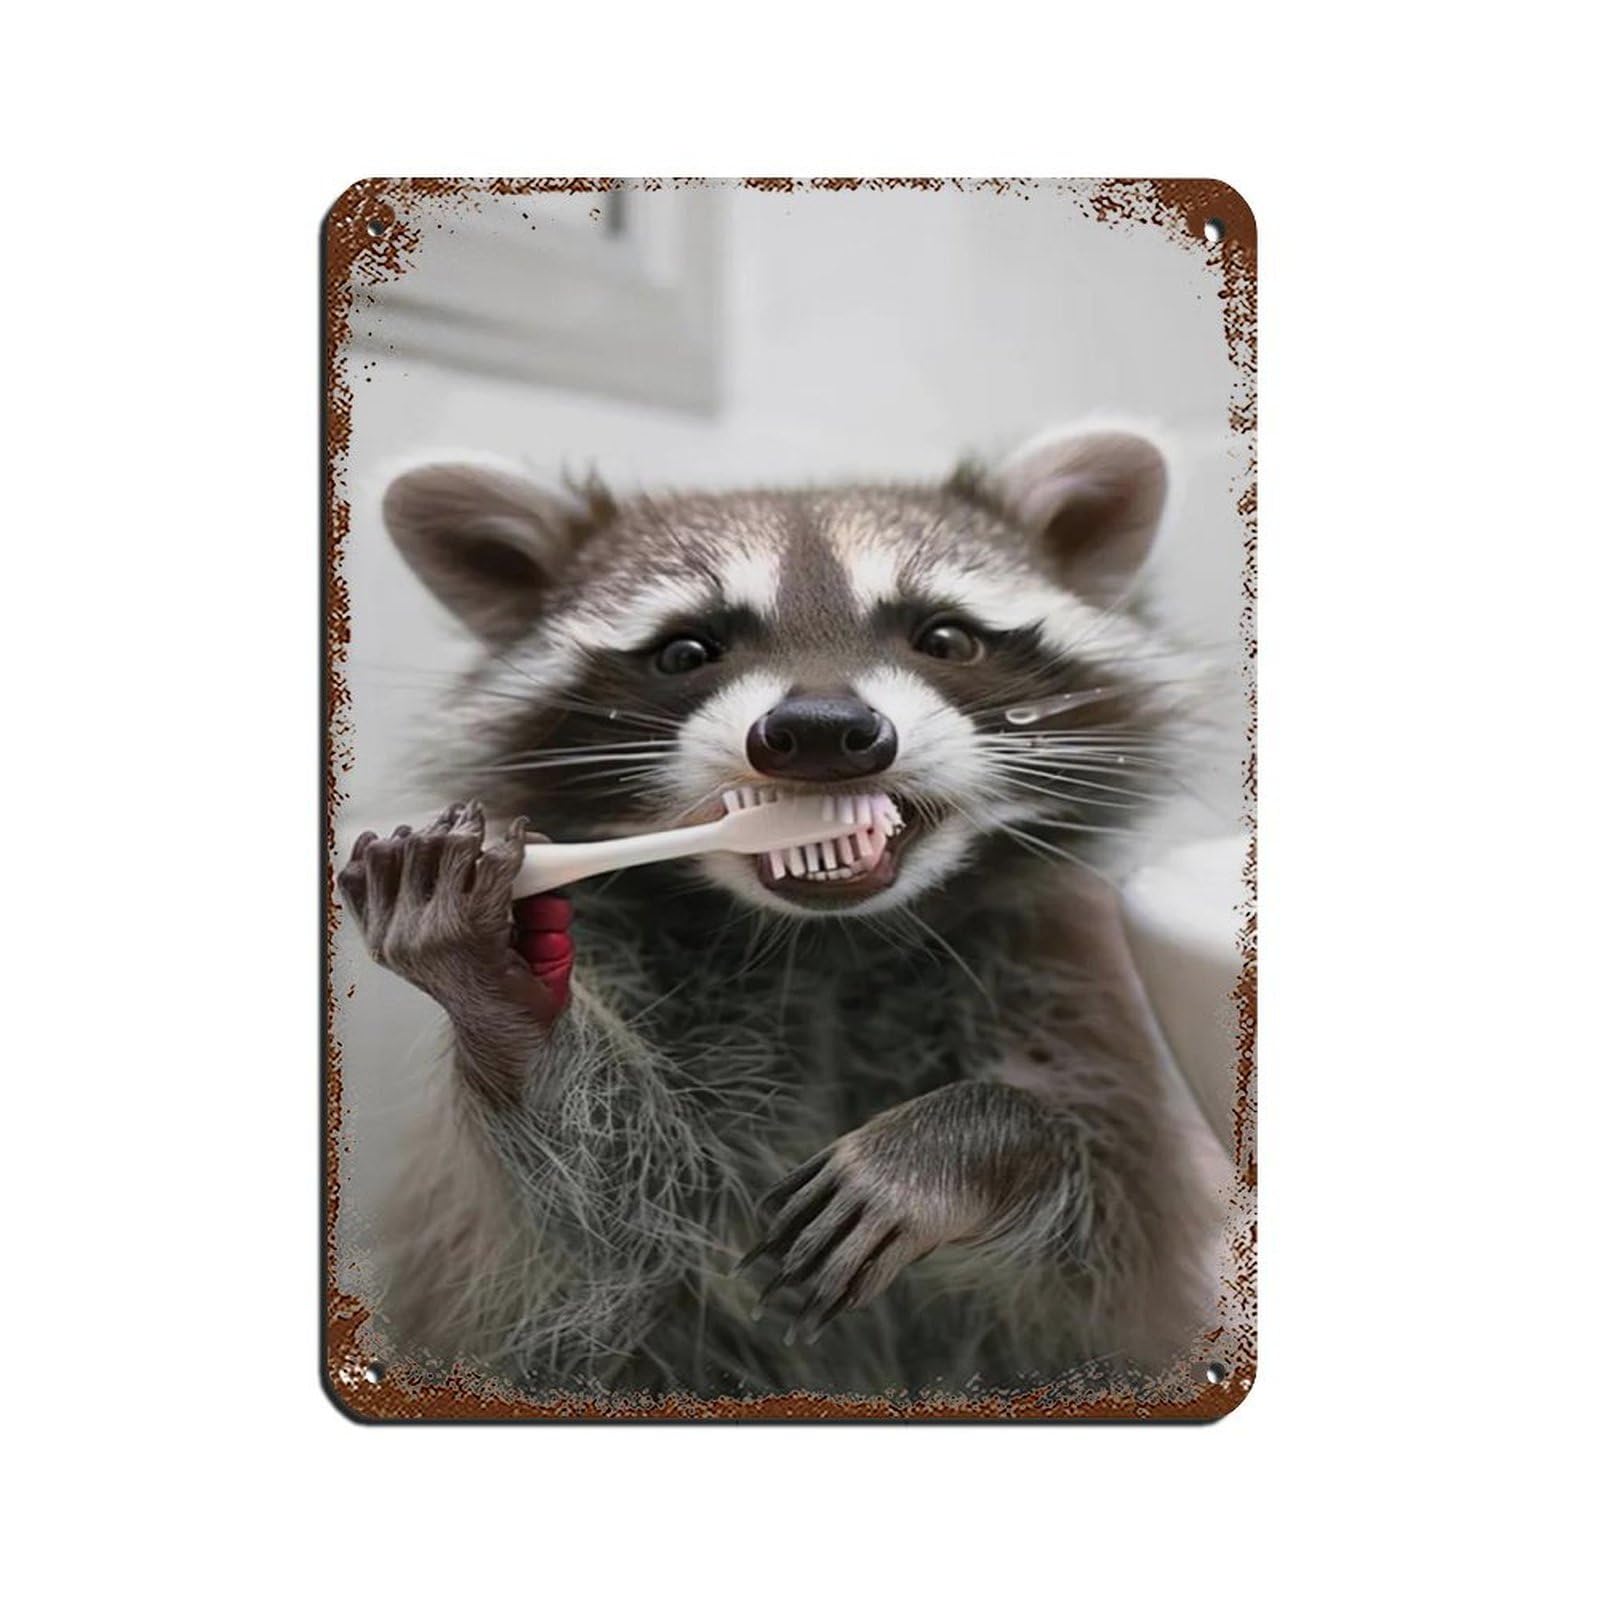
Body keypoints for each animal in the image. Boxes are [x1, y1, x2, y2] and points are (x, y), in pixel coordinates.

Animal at [337, 427, 1226, 1401]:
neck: (827, 941)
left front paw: (971, 1142)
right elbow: (603, 1221)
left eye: (945, 636)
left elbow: (1102, 1228)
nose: (823, 730)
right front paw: (507, 1009)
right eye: (686, 652)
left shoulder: (1066, 989)